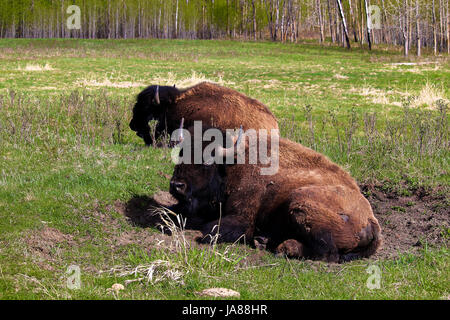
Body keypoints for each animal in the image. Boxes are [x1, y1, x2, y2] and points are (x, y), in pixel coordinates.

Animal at [170, 125, 384, 262]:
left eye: (207, 162)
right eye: (180, 154)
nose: (176, 185)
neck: (233, 164)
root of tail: (371, 220)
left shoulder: (242, 217)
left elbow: (210, 228)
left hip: (298, 203)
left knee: (327, 254)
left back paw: (280, 246)